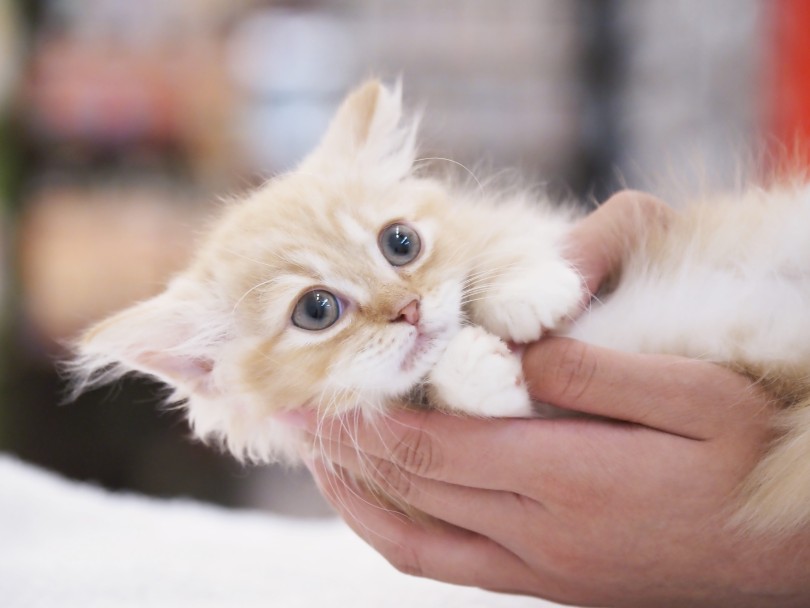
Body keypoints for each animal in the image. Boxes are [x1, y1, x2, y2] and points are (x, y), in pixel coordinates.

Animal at [71, 81, 808, 536]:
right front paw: (473, 368)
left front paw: (526, 291)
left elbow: (503, 244)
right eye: (316, 310)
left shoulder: (535, 225)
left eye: (400, 243)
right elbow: (470, 389)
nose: (408, 308)